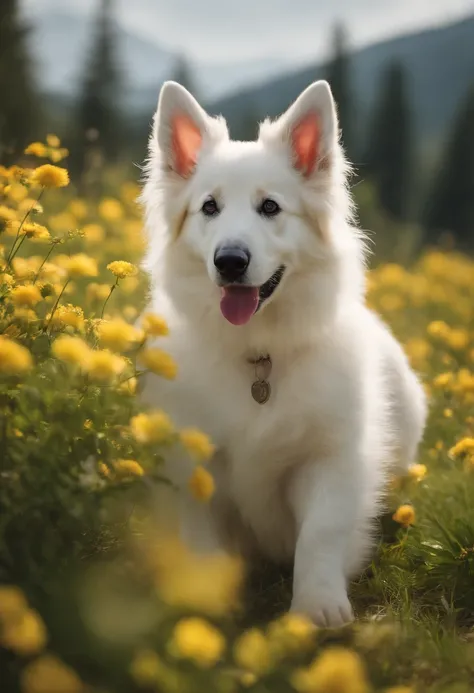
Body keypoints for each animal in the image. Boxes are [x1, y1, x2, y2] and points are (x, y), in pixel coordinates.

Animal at [139, 78, 428, 624]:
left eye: (270, 207)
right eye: (209, 207)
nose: (230, 261)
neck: (259, 355)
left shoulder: (329, 460)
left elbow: (320, 534)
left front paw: (317, 608)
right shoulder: (195, 467)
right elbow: (200, 538)